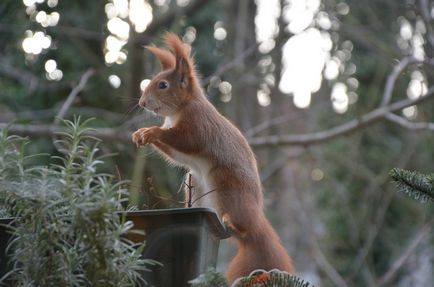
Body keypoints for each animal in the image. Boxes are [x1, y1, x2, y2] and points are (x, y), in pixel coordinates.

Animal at [132, 32, 294, 284]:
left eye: (163, 85)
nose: (141, 103)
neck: (181, 108)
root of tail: (257, 222)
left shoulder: (198, 125)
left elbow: (185, 140)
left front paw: (151, 132)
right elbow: (174, 153)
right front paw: (140, 134)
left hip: (224, 182)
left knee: (240, 227)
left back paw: (232, 224)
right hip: (195, 184)